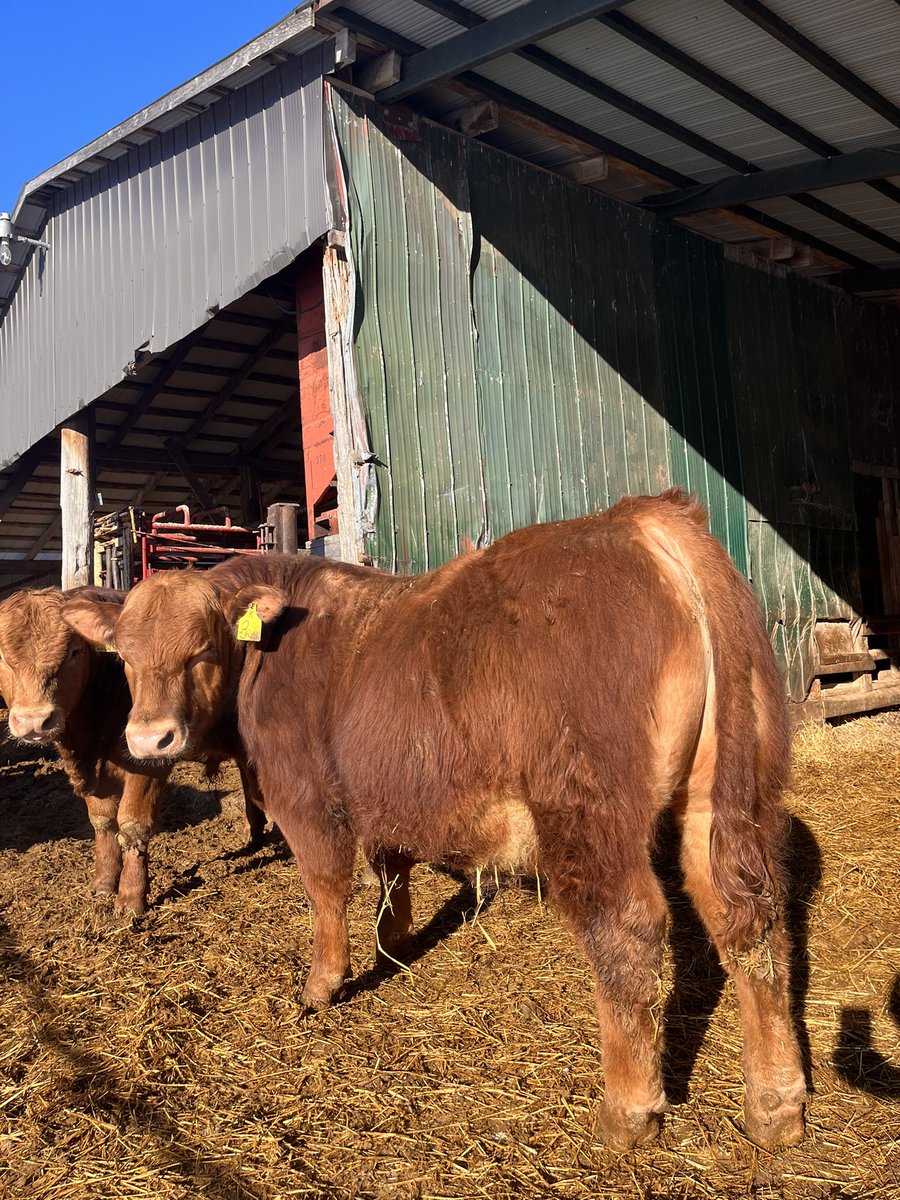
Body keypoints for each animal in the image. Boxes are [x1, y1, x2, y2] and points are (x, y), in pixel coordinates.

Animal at [0, 585, 265, 915]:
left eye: (73, 652)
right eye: (2, 656)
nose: (33, 721)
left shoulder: (147, 761)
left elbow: (133, 826)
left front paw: (130, 897)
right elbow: (102, 821)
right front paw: (104, 881)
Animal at [61, 492, 806, 1150]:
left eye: (202, 650)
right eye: (126, 657)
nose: (148, 738)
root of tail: (642, 519)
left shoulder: (306, 799)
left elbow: (326, 888)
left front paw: (323, 984)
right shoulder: (384, 793)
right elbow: (391, 867)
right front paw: (394, 943)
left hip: (587, 813)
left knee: (627, 931)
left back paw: (629, 1112)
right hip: (728, 798)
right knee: (749, 918)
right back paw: (776, 1104)